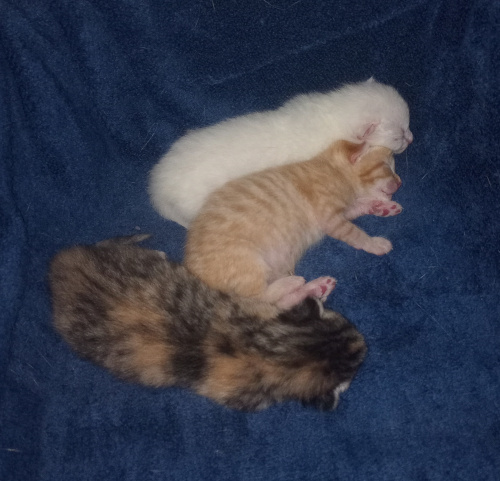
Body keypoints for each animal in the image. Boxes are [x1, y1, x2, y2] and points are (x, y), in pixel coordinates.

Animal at [185, 141, 402, 310]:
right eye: (387, 167)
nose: (399, 182)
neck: (332, 169)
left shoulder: (344, 211)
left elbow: (359, 205)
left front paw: (381, 206)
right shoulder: (330, 218)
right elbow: (356, 234)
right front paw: (374, 243)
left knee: (279, 305)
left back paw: (315, 287)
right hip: (247, 262)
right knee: (258, 298)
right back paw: (291, 283)